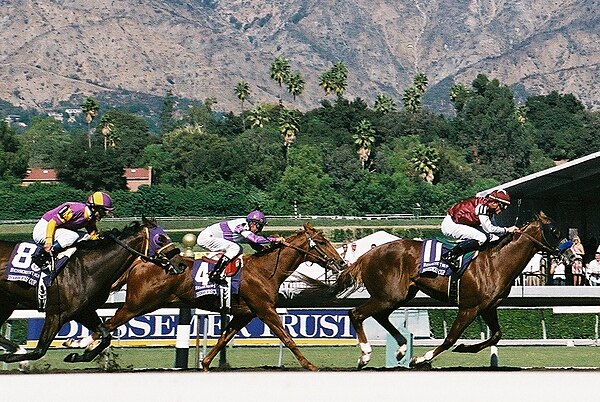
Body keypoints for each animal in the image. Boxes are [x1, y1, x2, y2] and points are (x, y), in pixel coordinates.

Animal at [0, 217, 180, 364]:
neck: (87, 269)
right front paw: (9, 356)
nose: (181, 264)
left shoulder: (84, 311)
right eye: (160, 239)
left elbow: (106, 336)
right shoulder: (56, 314)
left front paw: (77, 355)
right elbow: (39, 351)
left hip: (7, 302)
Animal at [63, 223, 344, 370]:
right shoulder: (265, 309)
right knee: (108, 324)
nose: (340, 262)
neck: (264, 270)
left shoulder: (244, 313)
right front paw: (310, 365)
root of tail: (140, 262)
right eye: (322, 242)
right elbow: (287, 337)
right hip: (137, 304)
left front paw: (206, 363)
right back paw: (78, 345)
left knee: (107, 325)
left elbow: (223, 338)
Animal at [302, 212, 564, 370]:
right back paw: (365, 355)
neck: (495, 263)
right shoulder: (469, 307)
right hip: (388, 295)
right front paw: (422, 358)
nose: (568, 252)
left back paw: (401, 348)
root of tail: (367, 255)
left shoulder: (488, 307)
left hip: (397, 296)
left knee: (380, 316)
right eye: (555, 231)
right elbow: (450, 338)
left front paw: (467, 348)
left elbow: (496, 335)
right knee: (356, 313)